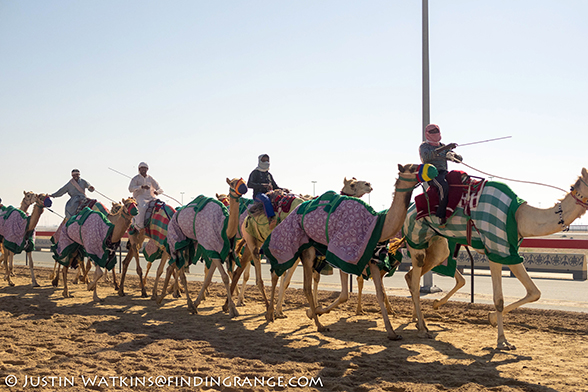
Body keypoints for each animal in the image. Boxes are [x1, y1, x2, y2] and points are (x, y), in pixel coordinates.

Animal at [155, 178, 247, 316]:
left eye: (244, 180)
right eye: (232, 183)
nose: (244, 187)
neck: (223, 228)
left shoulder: (218, 252)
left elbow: (209, 278)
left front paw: (198, 302)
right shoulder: (211, 249)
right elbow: (225, 277)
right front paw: (232, 309)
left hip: (188, 245)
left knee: (171, 267)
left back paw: (162, 297)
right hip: (176, 240)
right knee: (180, 273)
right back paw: (185, 302)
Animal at [262, 164, 428, 338]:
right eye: (412, 168)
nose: (368, 184)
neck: (379, 224)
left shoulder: (371, 259)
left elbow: (380, 293)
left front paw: (392, 332)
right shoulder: (342, 256)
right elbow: (344, 295)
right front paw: (316, 311)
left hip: (304, 253)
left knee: (293, 279)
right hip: (303, 249)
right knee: (286, 277)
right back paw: (281, 315)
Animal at [402, 169, 588, 350]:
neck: (518, 216)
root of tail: (409, 209)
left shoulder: (510, 252)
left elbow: (534, 292)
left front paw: (490, 319)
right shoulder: (496, 249)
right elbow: (499, 299)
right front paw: (502, 341)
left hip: (438, 245)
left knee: (413, 275)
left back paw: (420, 319)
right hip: (416, 239)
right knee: (415, 280)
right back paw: (423, 329)